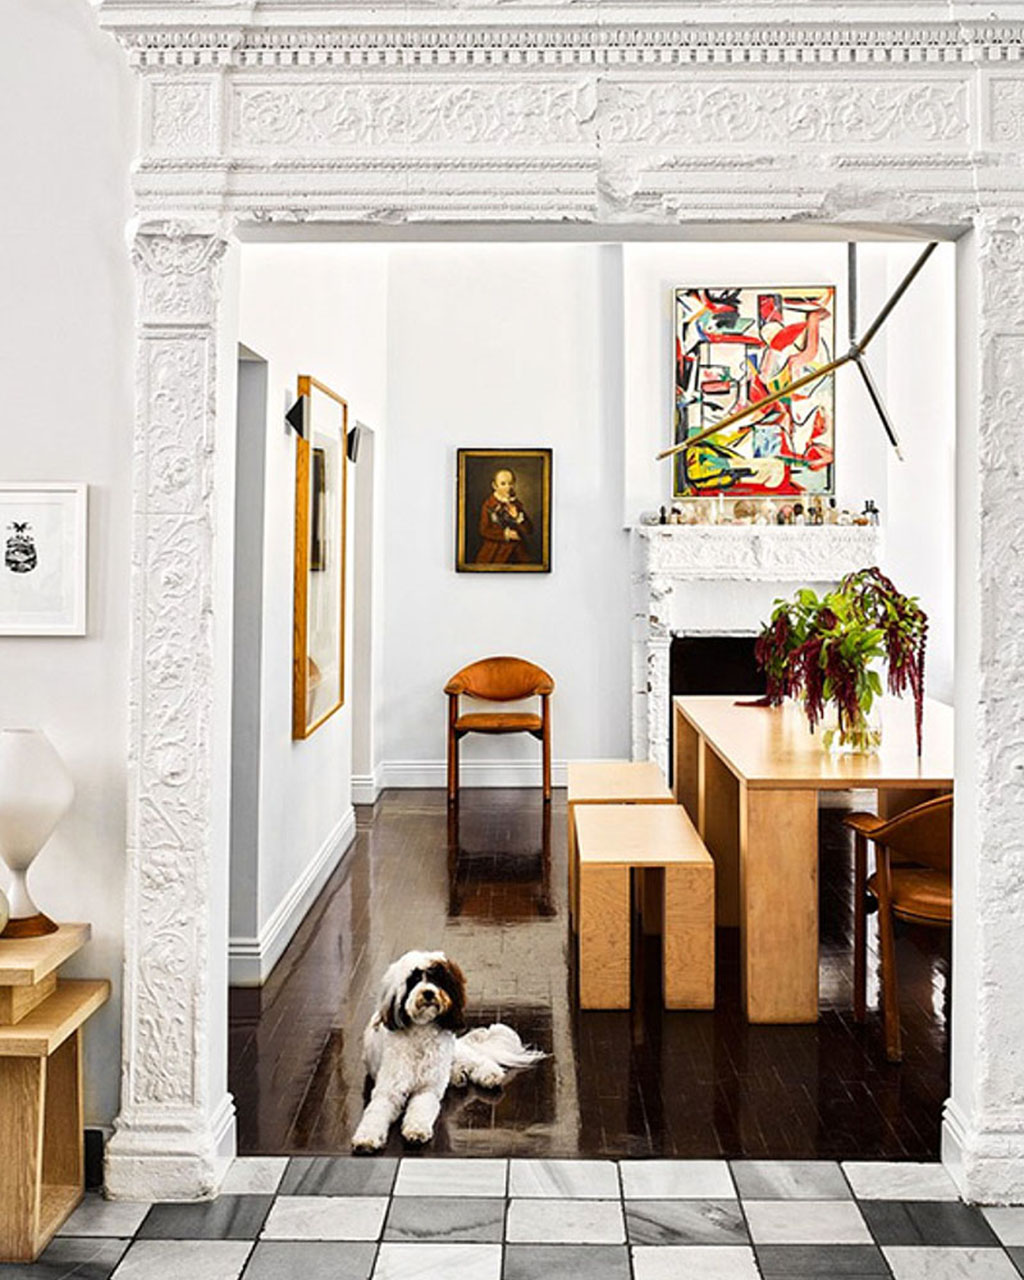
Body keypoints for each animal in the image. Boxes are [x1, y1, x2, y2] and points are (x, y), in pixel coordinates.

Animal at [353, 952, 542, 1152]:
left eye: (437, 978)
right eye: (414, 980)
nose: (428, 993)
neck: (421, 1033)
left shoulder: (428, 1089)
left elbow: (422, 1109)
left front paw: (417, 1130)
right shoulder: (389, 1090)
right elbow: (375, 1114)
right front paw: (366, 1138)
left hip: (452, 1051)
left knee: (475, 1058)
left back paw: (488, 1074)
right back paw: (458, 1074)